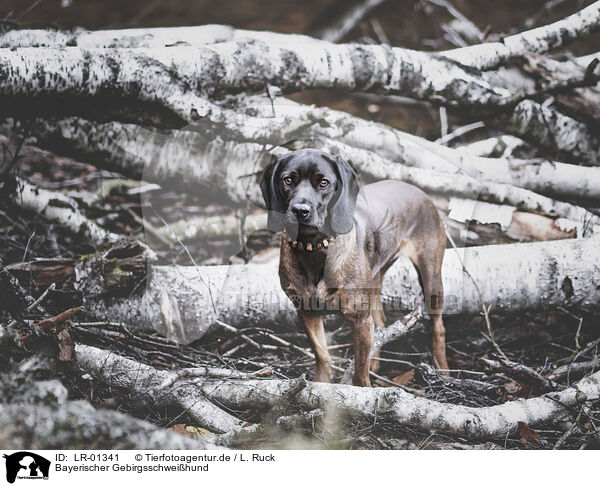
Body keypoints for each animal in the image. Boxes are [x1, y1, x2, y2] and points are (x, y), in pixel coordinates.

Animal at [260, 148, 448, 388]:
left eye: (323, 182)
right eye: (288, 180)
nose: (300, 210)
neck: (314, 246)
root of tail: (420, 192)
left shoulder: (360, 318)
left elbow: (359, 371)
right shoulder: (306, 311)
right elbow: (322, 354)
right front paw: (319, 383)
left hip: (431, 276)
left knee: (438, 327)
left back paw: (443, 370)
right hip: (375, 281)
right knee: (381, 321)